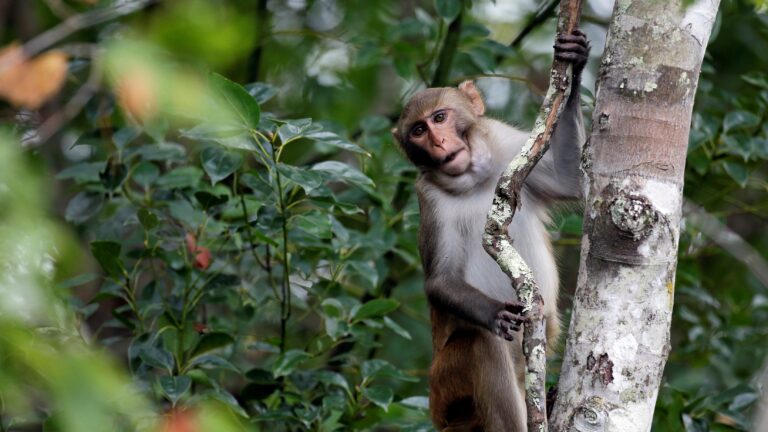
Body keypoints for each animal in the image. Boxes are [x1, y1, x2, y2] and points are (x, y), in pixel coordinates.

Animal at [391, 30, 589, 431]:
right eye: (418, 131)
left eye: (440, 117)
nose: (438, 142)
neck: (474, 179)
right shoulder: (430, 199)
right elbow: (441, 280)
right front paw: (495, 313)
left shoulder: (508, 145)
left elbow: (572, 180)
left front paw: (575, 64)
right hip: (447, 387)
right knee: (481, 344)